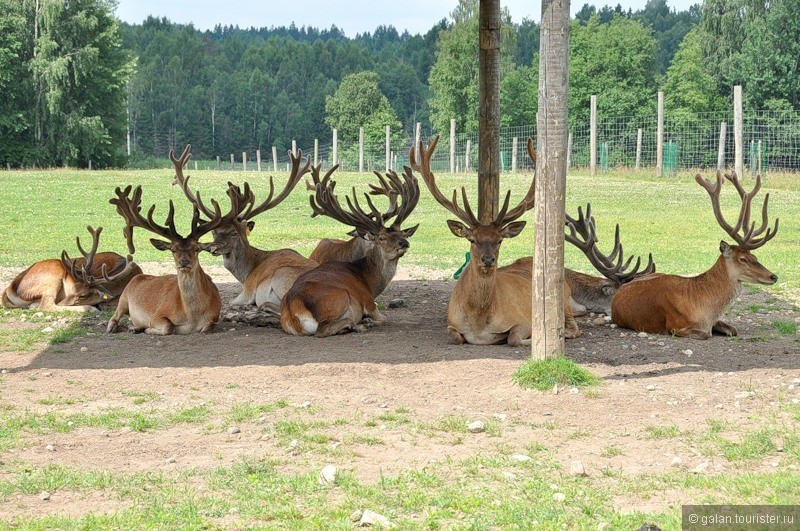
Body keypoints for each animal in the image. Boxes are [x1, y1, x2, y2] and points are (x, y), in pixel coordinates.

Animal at [3, 225, 141, 312]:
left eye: (83, 295)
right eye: (73, 289)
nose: (61, 302)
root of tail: (9, 289)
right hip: (53, 276)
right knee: (46, 304)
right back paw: (90, 308)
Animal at [168, 145, 316, 312]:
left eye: (234, 233)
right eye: (213, 231)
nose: (213, 248)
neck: (247, 272)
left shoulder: (247, 290)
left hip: (283, 275)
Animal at [280, 166, 422, 336]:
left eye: (402, 233)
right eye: (381, 238)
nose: (405, 243)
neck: (369, 281)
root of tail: (292, 307)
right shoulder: (369, 302)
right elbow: (384, 318)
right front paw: (368, 321)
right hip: (340, 297)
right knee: (324, 329)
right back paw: (359, 325)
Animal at [410, 135, 580, 348]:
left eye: (499, 240)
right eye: (472, 239)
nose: (488, 260)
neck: (478, 325)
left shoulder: (522, 320)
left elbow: (513, 338)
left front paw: (533, 339)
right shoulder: (451, 322)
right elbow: (455, 337)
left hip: (562, 300)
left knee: (574, 328)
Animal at [608, 171, 780, 340]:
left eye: (755, 257)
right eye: (743, 259)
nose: (773, 276)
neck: (704, 310)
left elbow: (733, 329)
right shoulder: (675, 325)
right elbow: (706, 334)